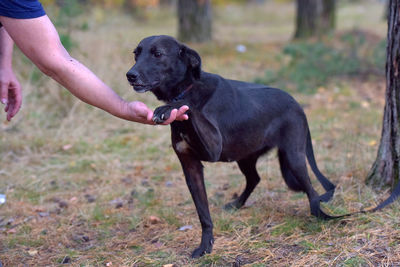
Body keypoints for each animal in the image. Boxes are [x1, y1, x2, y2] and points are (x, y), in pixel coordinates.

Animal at [126, 35, 338, 258]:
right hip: (245, 155)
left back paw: (319, 215)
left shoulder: (213, 148)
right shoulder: (190, 166)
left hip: (293, 156)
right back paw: (238, 204)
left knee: (310, 189)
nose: (130, 75)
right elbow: (203, 214)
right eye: (136, 54)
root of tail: (297, 103)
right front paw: (206, 246)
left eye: (158, 54)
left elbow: (187, 106)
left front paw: (168, 108)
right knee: (255, 178)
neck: (186, 89)